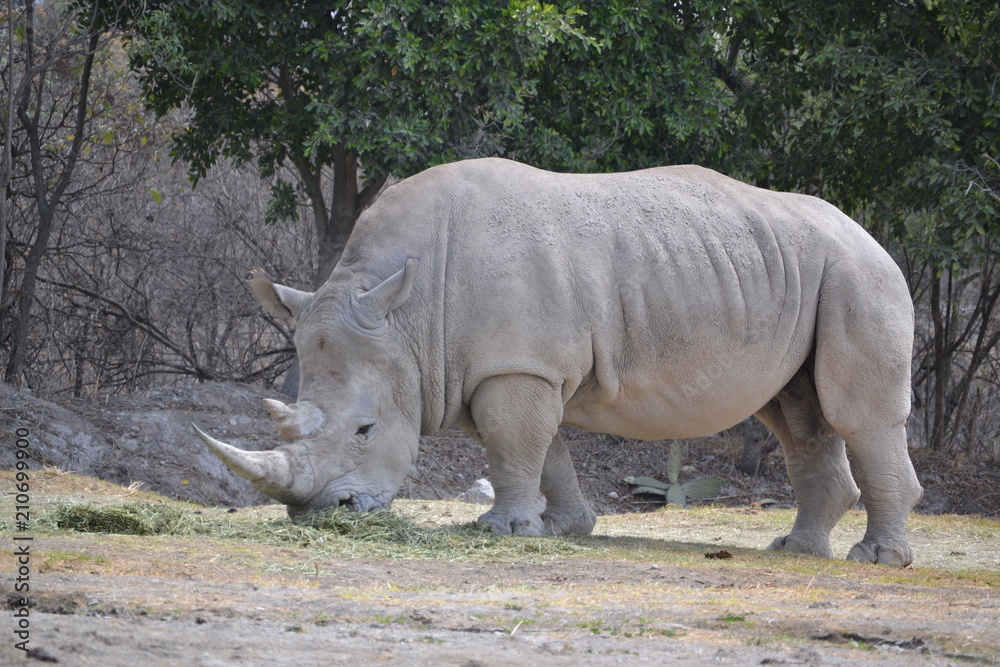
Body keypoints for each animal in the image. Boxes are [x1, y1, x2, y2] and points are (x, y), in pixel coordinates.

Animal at [195, 158, 922, 567]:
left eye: (366, 430)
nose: (325, 512)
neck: (404, 314)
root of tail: (872, 236)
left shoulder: (514, 364)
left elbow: (512, 442)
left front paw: (501, 530)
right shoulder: (494, 365)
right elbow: (542, 449)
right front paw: (561, 528)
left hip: (860, 275)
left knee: (855, 413)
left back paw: (877, 560)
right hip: (796, 274)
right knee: (797, 415)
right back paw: (796, 551)